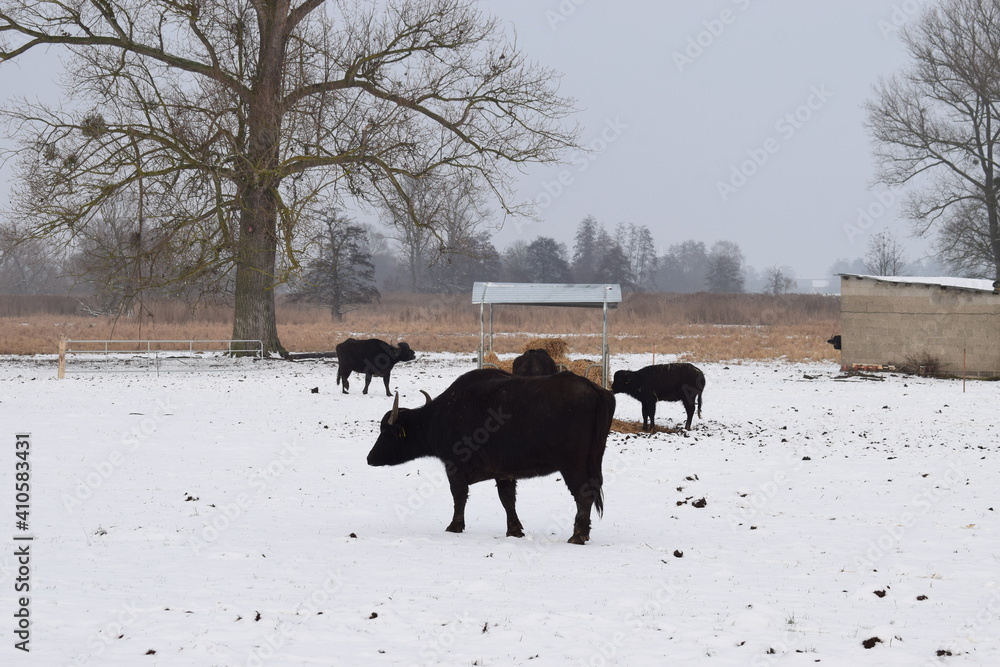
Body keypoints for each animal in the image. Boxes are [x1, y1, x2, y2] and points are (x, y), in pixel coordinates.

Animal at [368, 368, 616, 544]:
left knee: (583, 495)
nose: (370, 458)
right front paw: (514, 530)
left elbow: (459, 496)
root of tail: (595, 389)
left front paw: (454, 526)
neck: (443, 415)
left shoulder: (454, 467)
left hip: (573, 465)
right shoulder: (504, 472)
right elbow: (507, 500)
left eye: (386, 432)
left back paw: (577, 536)